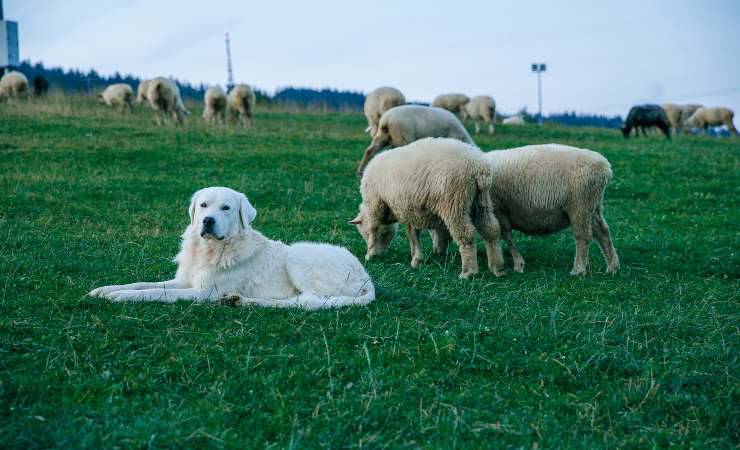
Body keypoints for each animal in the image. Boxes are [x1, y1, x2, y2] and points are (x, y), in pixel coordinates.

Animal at [88, 186, 376, 310]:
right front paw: (106, 290)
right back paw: (238, 300)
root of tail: (368, 280)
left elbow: (154, 293)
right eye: (203, 205)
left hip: (298, 256)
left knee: (307, 301)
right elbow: (142, 284)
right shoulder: (185, 281)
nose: (207, 221)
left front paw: (120, 297)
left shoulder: (202, 293)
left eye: (226, 208)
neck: (210, 249)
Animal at [352, 137, 502, 278]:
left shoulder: (375, 203)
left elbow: (374, 228)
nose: (380, 254)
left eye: (363, 233)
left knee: (466, 234)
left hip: (455, 203)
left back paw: (468, 272)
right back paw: (497, 268)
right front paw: (417, 260)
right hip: (481, 202)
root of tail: (479, 168)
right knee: (491, 230)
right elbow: (413, 234)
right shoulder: (409, 209)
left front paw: (369, 253)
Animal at [480, 144, 620, 276]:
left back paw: (578, 270)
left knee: (583, 236)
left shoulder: (499, 209)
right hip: (593, 206)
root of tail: (605, 167)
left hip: (580, 205)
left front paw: (517, 265)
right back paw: (612, 267)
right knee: (602, 232)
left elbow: (505, 236)